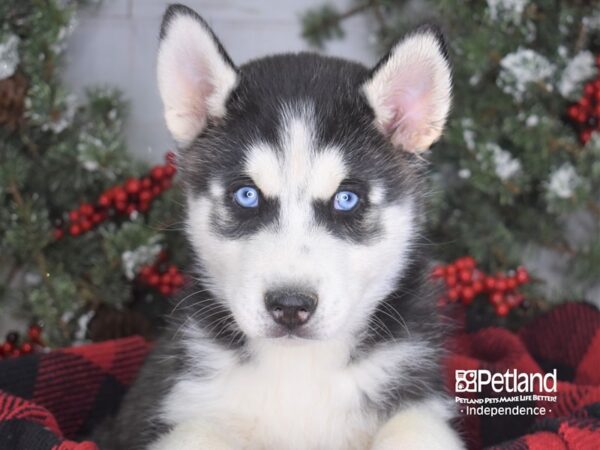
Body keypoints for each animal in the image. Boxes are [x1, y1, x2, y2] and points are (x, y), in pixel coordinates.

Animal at [102, 3, 464, 450]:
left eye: (347, 199)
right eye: (246, 195)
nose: (290, 306)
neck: (299, 370)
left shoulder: (419, 400)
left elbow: (414, 430)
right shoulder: (183, 404)